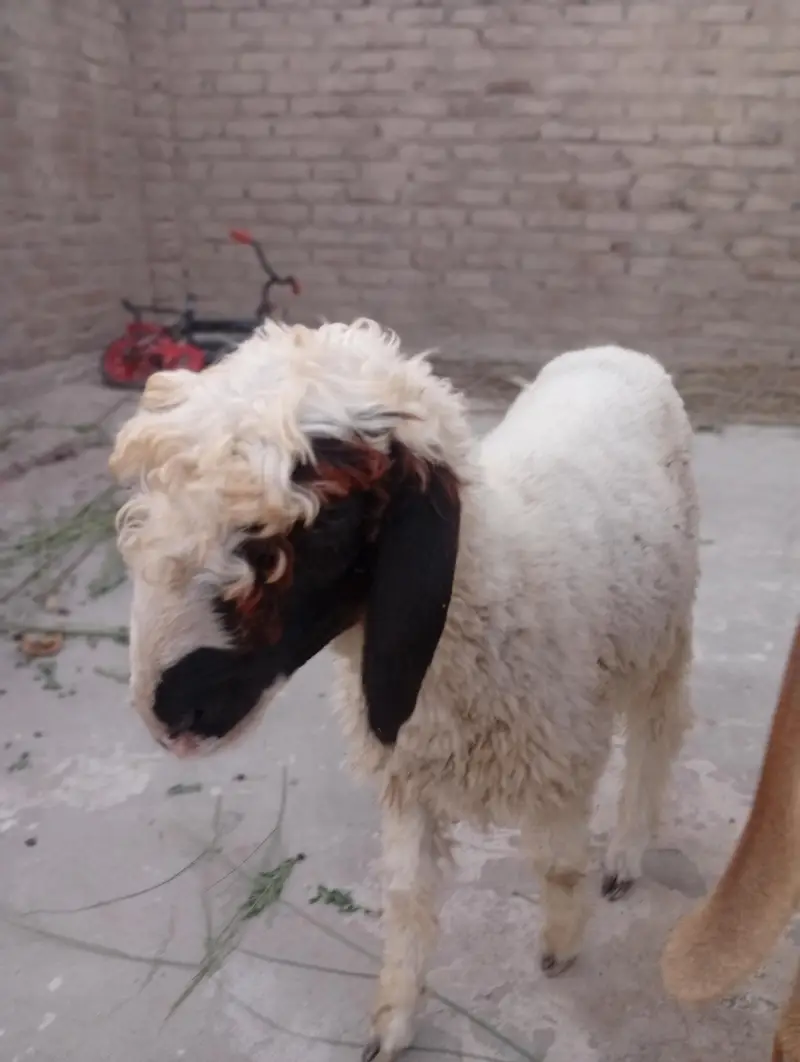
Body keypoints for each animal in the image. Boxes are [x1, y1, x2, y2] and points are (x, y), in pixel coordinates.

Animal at [109, 319, 699, 1062]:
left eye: (330, 523)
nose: (163, 712)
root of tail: (612, 349)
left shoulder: (563, 759)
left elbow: (557, 863)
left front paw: (560, 946)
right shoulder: (408, 777)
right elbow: (407, 895)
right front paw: (394, 1019)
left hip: (665, 633)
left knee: (658, 731)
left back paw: (624, 854)